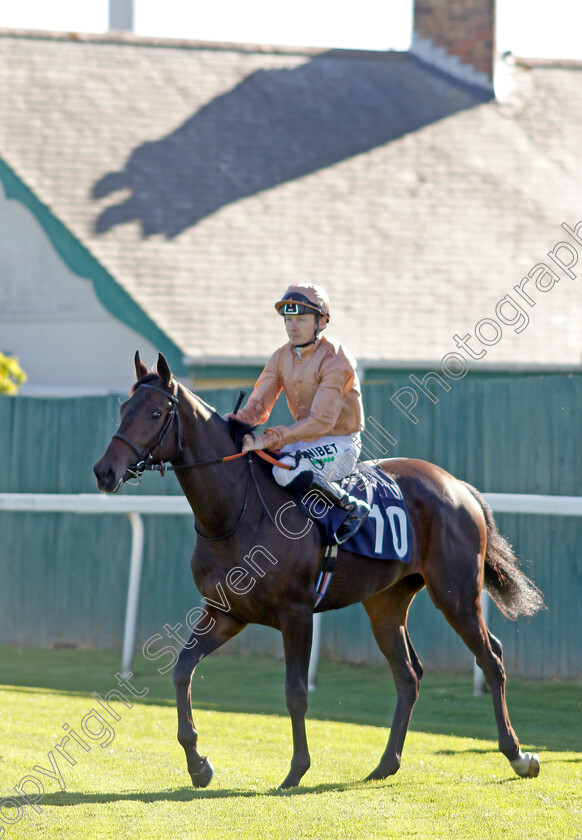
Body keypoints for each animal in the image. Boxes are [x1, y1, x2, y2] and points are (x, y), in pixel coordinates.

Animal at [94, 352, 548, 788]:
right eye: (123, 408)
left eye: (156, 412)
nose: (104, 471)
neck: (236, 511)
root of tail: (458, 486)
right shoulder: (226, 613)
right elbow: (182, 670)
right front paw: (198, 764)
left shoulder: (296, 613)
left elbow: (295, 692)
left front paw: (296, 770)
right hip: (386, 603)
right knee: (408, 675)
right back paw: (386, 764)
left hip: (456, 594)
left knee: (491, 658)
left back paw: (518, 755)